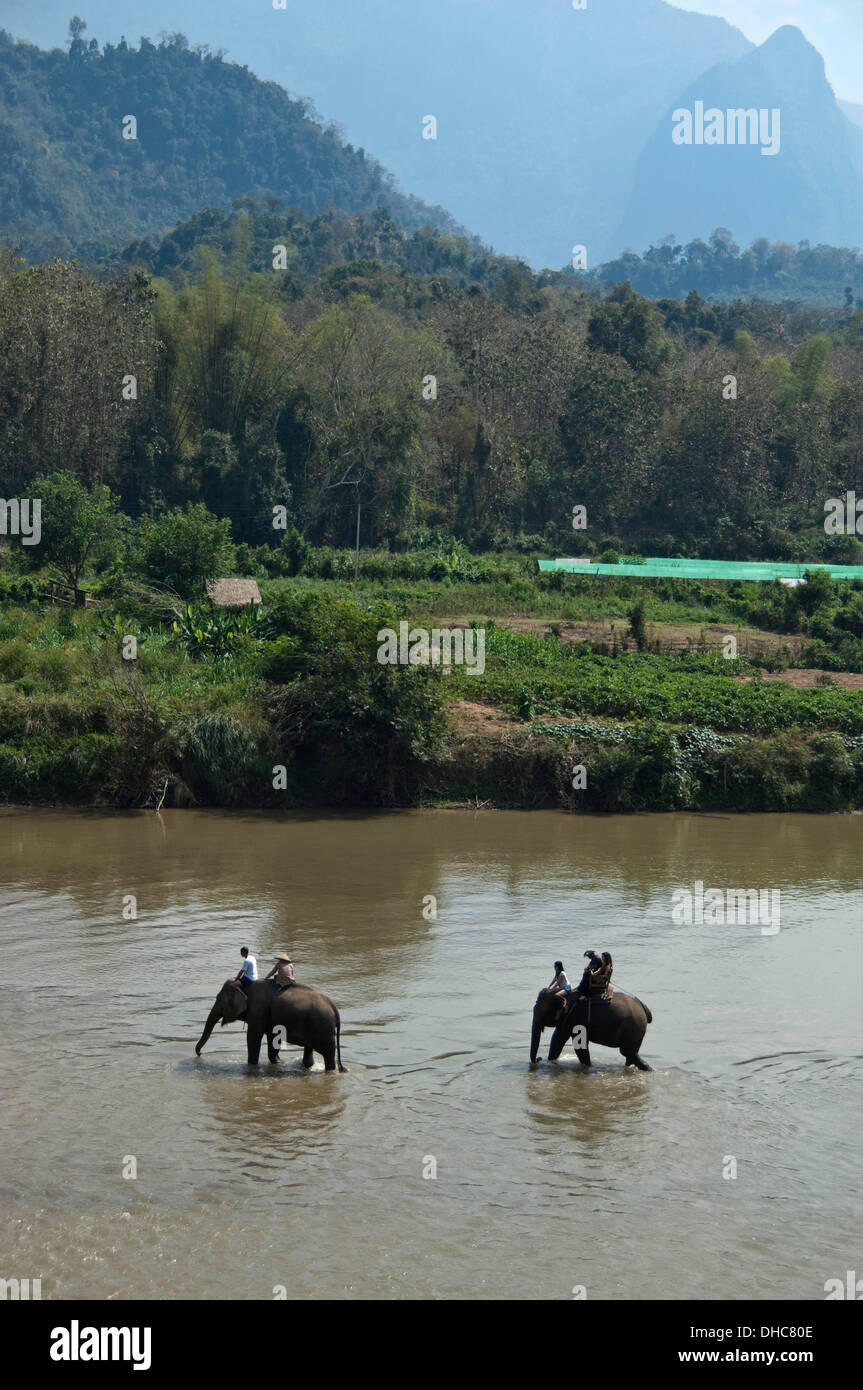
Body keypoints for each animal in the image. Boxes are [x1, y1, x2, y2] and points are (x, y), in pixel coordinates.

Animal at [193, 978, 344, 1073]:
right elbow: (273, 1039)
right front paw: (278, 1063)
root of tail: (335, 1010)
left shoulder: (258, 1009)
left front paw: (252, 1066)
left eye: (218, 999)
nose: (200, 1054)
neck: (244, 985)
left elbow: (253, 1037)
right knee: (310, 1051)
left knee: (328, 1055)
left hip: (323, 1028)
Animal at [525, 984, 653, 1067]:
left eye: (542, 1012)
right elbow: (557, 1040)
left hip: (633, 1027)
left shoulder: (576, 1017)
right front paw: (551, 1061)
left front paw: (588, 1066)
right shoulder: (566, 1020)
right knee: (630, 1054)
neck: (563, 993)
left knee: (627, 1052)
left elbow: (579, 1045)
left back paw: (647, 1068)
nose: (539, 1059)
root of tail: (645, 1009)